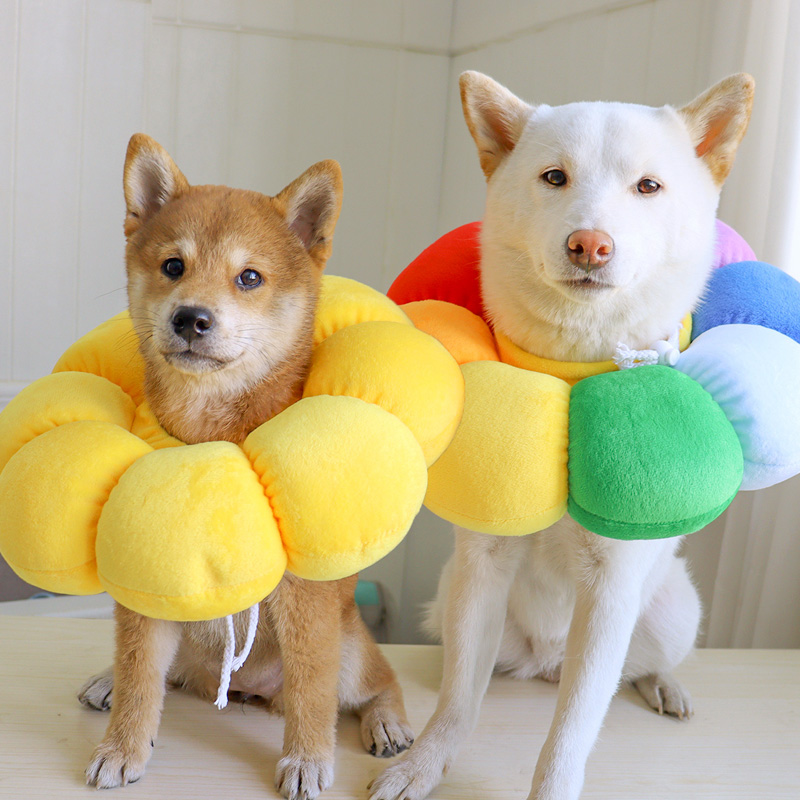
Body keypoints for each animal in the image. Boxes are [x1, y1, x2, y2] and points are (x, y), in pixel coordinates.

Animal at [79, 134, 412, 796]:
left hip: (350, 648)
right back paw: (107, 680)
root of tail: (248, 693)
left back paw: (386, 724)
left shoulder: (308, 606)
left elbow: (313, 694)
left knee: (378, 683)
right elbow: (139, 677)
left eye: (249, 277)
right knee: (159, 673)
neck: (213, 428)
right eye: (173, 267)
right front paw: (122, 746)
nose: (190, 317)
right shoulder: (148, 588)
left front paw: (307, 759)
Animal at [368, 73, 752, 800]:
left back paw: (663, 685)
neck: (571, 372)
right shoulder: (482, 566)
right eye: (554, 177)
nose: (589, 244)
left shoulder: (609, 595)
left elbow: (571, 733)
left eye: (648, 186)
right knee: (470, 666)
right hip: (454, 599)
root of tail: (545, 662)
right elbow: (456, 705)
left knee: (630, 669)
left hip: (670, 613)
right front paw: (424, 763)